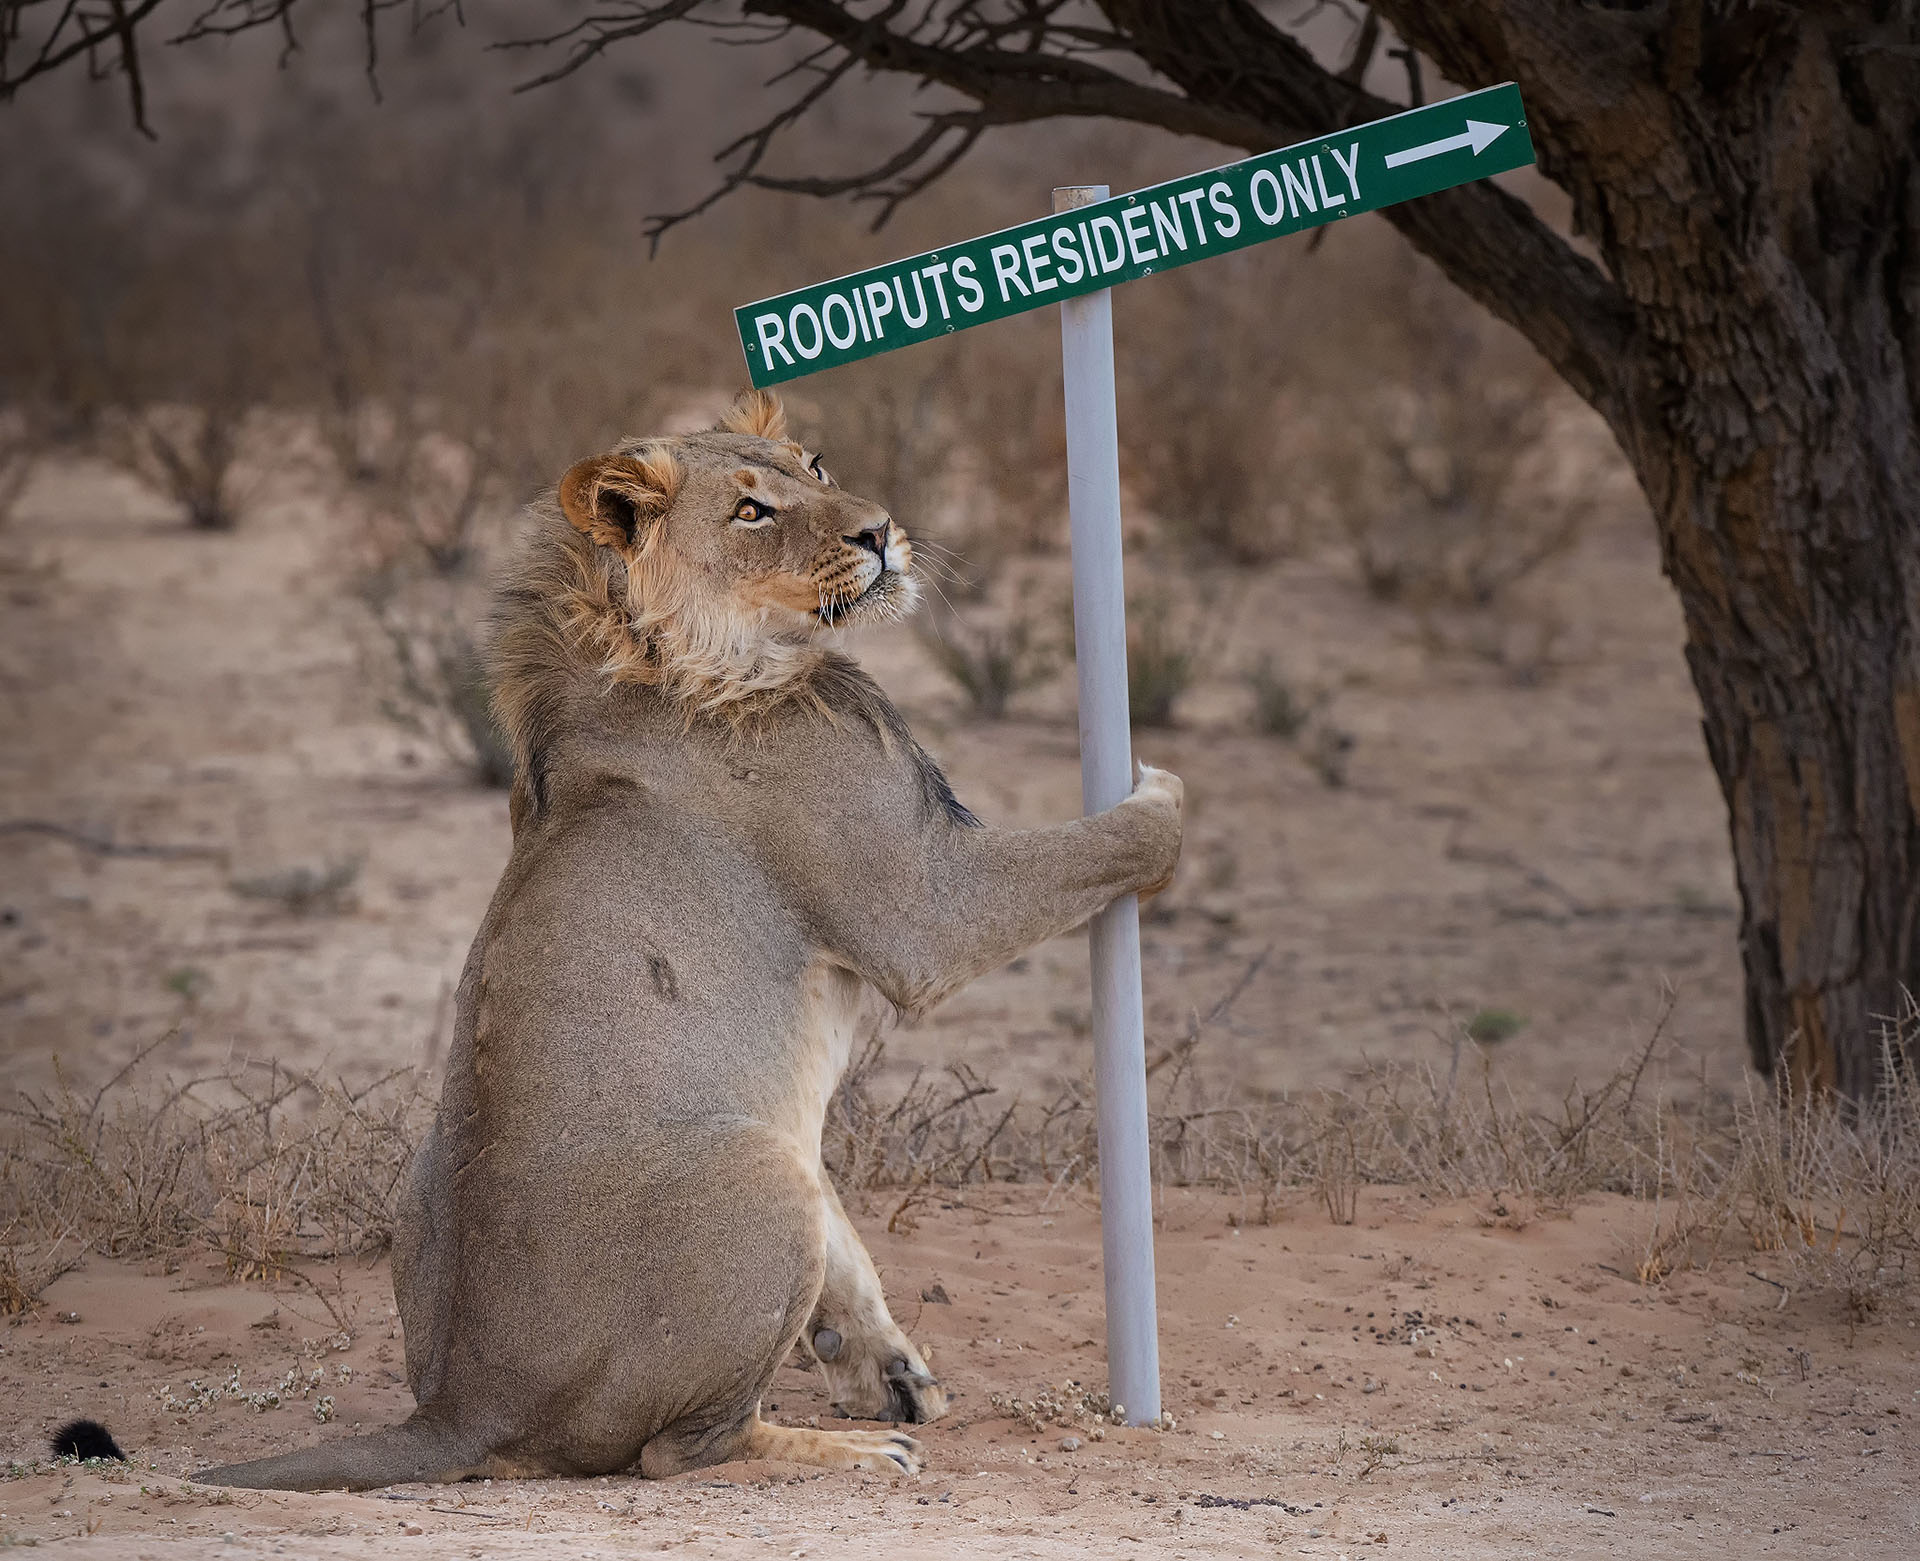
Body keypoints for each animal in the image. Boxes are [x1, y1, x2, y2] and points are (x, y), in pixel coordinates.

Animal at [198, 389, 1182, 1482]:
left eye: (816, 465)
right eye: (752, 511)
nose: (881, 531)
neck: (703, 660)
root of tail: (461, 1406)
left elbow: (850, 1254)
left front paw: (888, 1365)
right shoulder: (925, 904)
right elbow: (1105, 843)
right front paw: (1163, 792)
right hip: (756, 1174)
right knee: (688, 1447)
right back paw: (854, 1451)